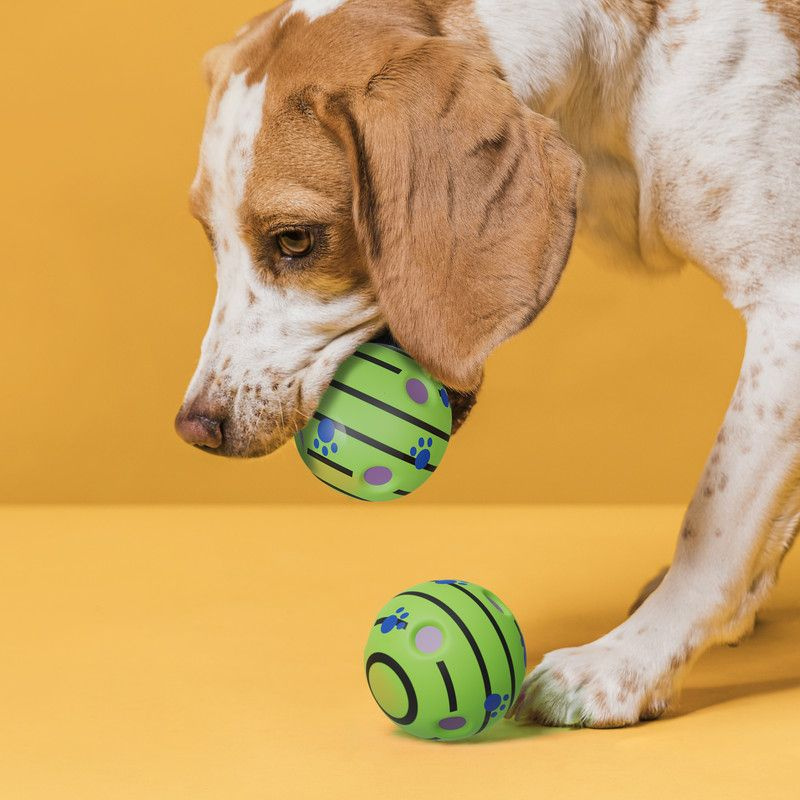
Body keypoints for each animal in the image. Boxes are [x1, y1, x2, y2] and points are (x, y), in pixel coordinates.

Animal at [175, 0, 800, 724]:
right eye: (210, 238)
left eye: (296, 241)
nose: (196, 426)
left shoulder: (786, 305)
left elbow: (715, 521)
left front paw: (626, 665)